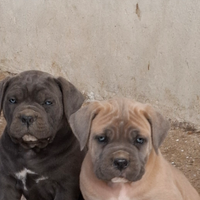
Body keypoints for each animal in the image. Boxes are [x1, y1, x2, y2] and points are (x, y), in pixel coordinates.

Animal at [0, 69, 85, 199]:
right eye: (12, 100)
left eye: (48, 102)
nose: (27, 117)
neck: (31, 149)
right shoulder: (7, 182)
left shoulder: (65, 186)